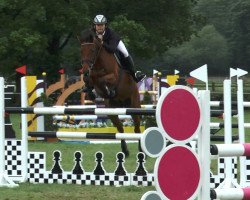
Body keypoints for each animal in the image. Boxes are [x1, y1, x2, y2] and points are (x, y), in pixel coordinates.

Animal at [77, 29, 142, 157]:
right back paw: (125, 151)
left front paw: (109, 90)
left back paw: (141, 151)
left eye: (92, 50)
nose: (85, 70)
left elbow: (103, 80)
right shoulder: (92, 77)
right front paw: (90, 92)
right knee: (120, 128)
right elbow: (90, 80)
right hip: (111, 110)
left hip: (134, 105)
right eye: (81, 51)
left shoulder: (113, 76)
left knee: (137, 128)